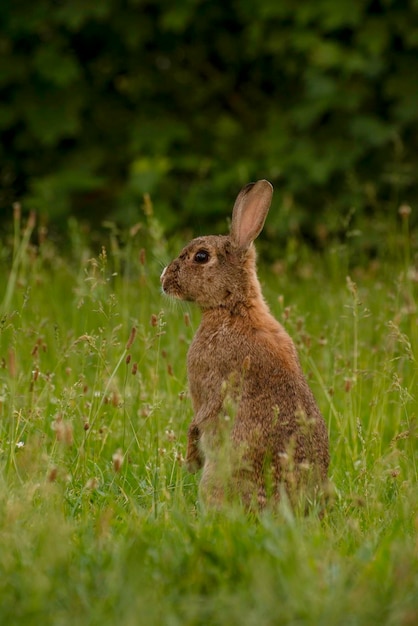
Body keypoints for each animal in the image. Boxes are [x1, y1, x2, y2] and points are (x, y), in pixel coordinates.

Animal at [162, 179, 328, 508]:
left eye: (201, 256)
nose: (163, 279)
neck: (233, 307)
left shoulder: (206, 385)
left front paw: (190, 461)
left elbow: (198, 421)